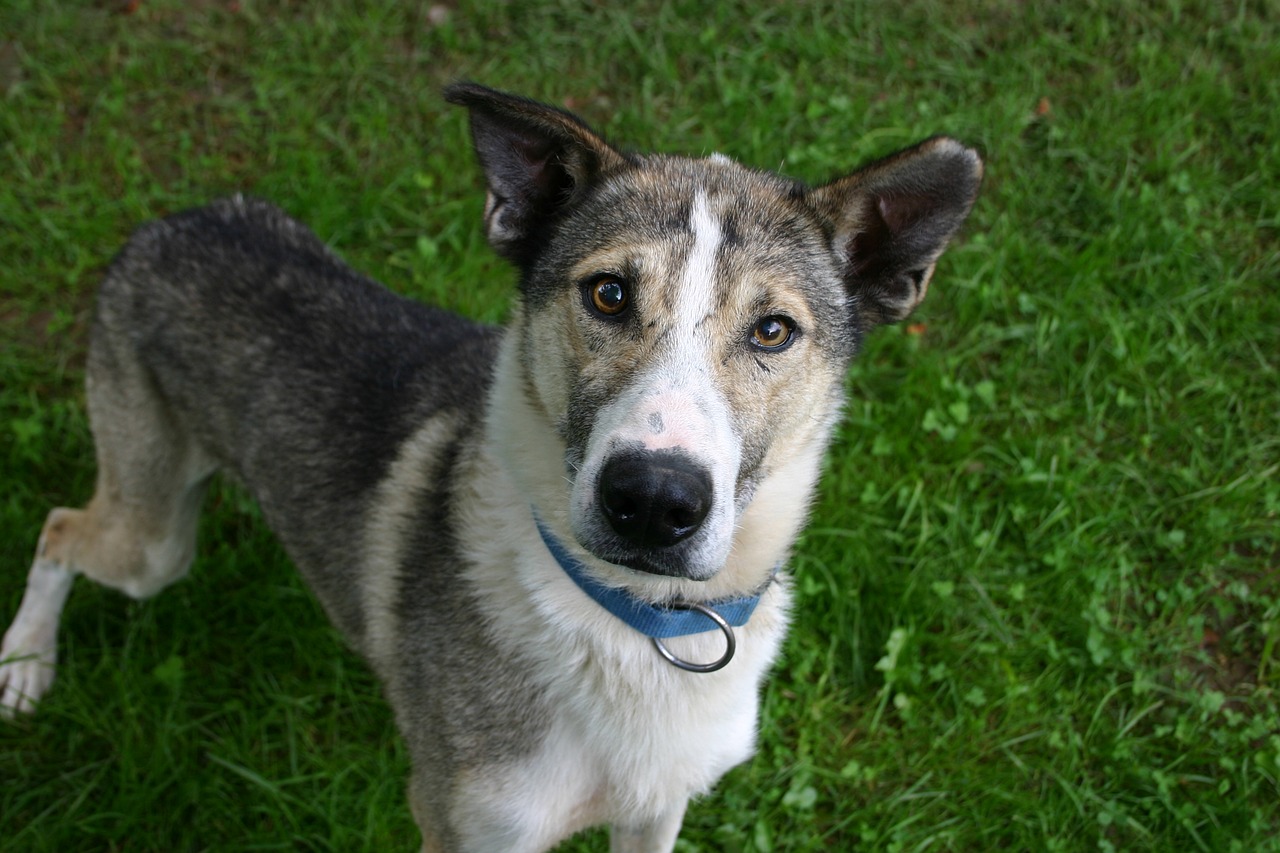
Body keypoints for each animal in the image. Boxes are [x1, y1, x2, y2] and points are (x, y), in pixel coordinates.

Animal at [2, 83, 977, 845]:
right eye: (608, 293)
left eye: (773, 329)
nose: (653, 500)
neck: (638, 624)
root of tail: (170, 223)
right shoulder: (469, 823)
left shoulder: (655, 812)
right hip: (151, 541)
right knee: (57, 527)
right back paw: (24, 665)